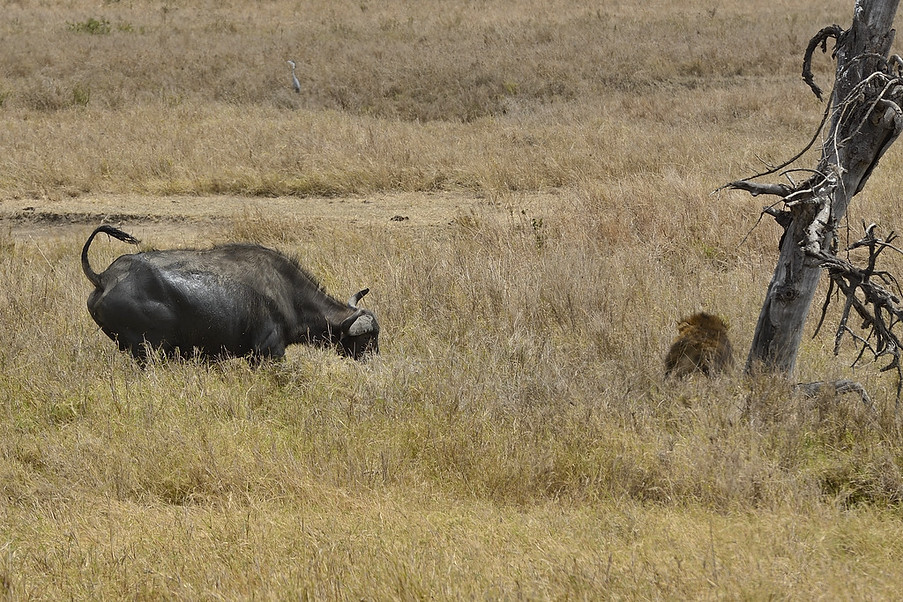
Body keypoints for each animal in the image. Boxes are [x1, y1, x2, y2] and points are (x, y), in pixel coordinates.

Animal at [81, 223, 382, 358]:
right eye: (368, 338)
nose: (374, 361)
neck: (287, 292)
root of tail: (104, 277)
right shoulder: (269, 351)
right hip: (149, 352)